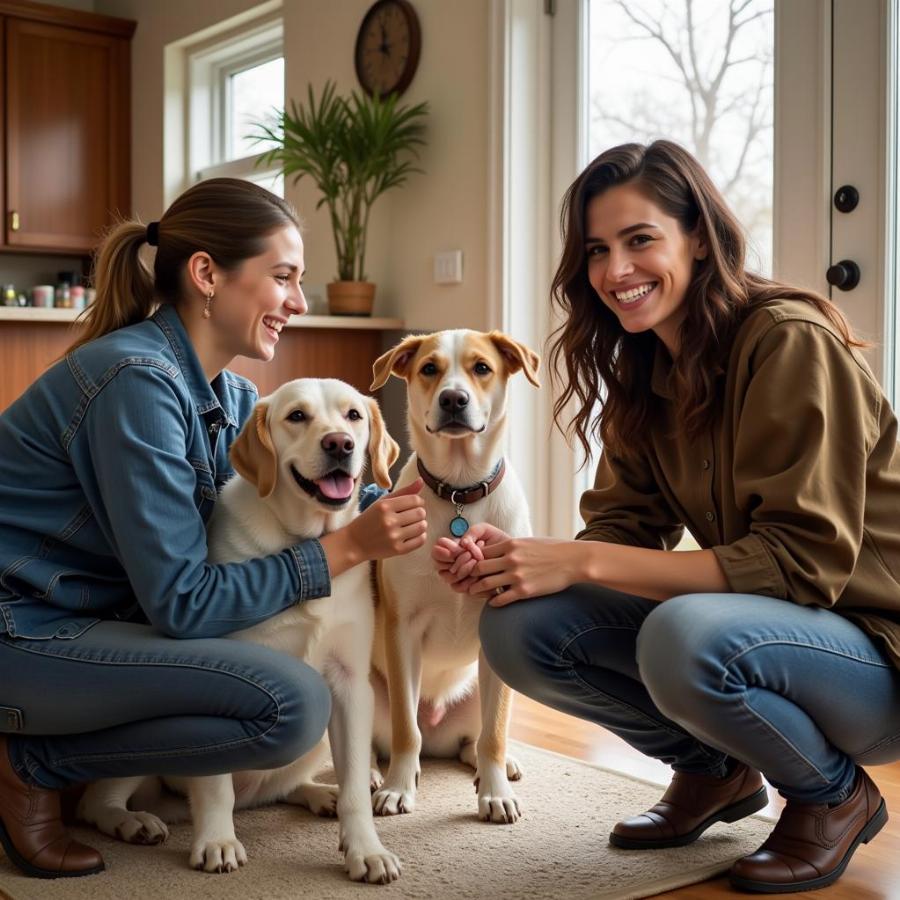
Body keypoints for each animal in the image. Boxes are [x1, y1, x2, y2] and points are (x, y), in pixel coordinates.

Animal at [79, 376, 402, 884]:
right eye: (297, 416)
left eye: (353, 415)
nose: (340, 444)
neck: (304, 539)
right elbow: (215, 787)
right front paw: (216, 841)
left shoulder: (350, 683)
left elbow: (355, 788)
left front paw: (365, 849)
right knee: (96, 800)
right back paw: (131, 821)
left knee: (280, 789)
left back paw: (318, 793)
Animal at [368, 328, 536, 824]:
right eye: (429, 369)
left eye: (482, 368)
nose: (454, 399)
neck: (461, 491)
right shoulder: (402, 630)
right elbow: (405, 731)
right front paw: (398, 788)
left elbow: (493, 735)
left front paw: (495, 794)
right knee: (373, 742)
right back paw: (374, 774)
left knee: (475, 742)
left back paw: (498, 766)